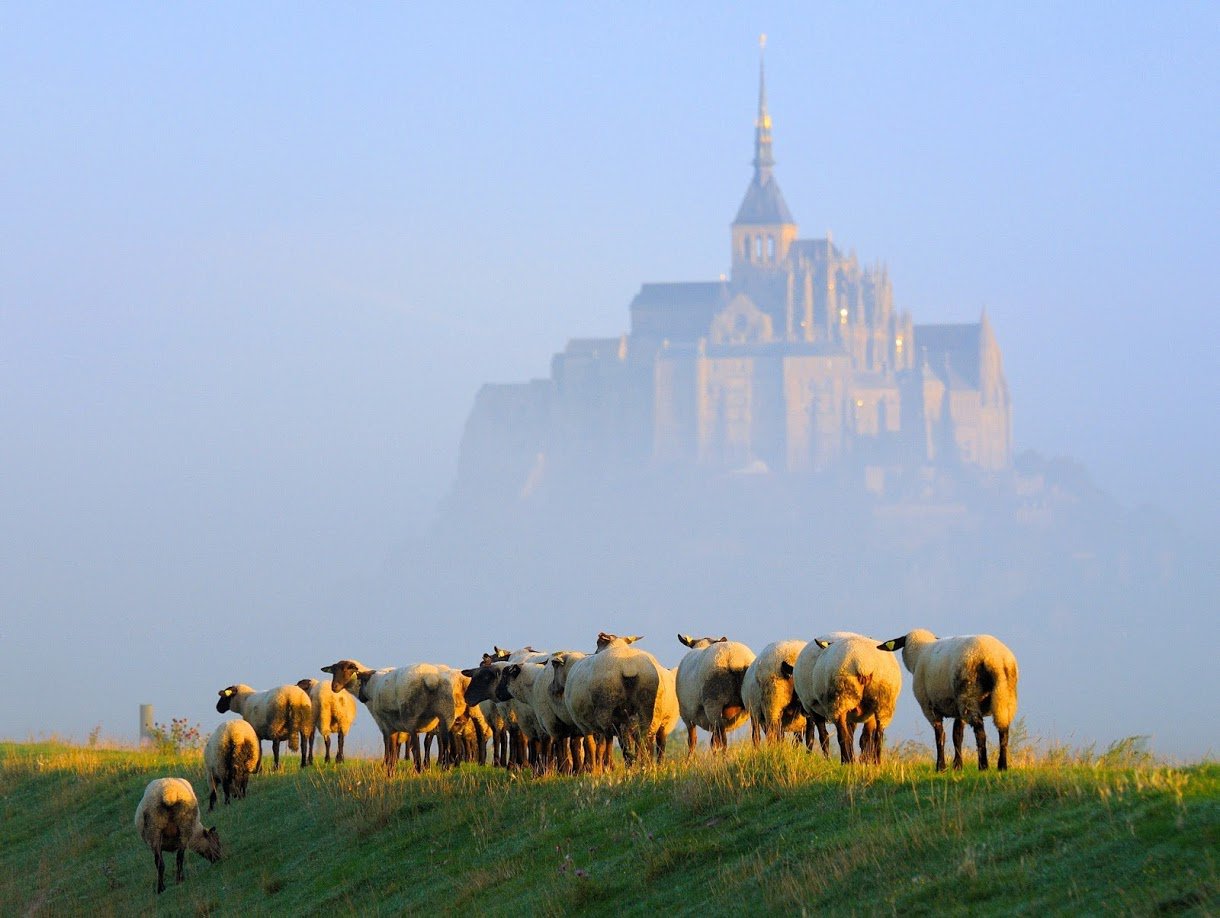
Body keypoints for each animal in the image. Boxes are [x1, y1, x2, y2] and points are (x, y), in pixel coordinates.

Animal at [878, 629, 1019, 771]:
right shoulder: (957, 708)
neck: (920, 652)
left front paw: (940, 767)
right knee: (1003, 730)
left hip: (968, 693)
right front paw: (957, 766)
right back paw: (1002, 766)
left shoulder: (929, 707)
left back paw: (983, 766)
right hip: (1004, 694)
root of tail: (995, 658)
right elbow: (957, 735)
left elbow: (940, 735)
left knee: (980, 731)